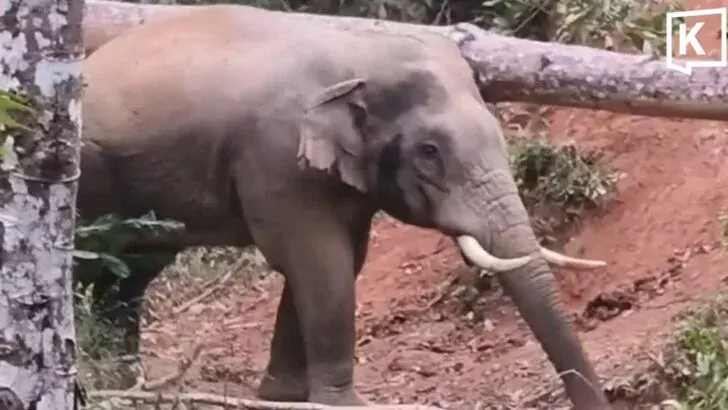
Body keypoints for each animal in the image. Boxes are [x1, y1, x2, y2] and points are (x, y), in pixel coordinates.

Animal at [77, 4, 611, 409]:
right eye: (430, 152)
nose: (598, 404)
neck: (357, 53)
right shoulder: (277, 159)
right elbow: (319, 262)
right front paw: (339, 404)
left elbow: (343, 261)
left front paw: (283, 396)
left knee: (129, 274)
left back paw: (120, 380)